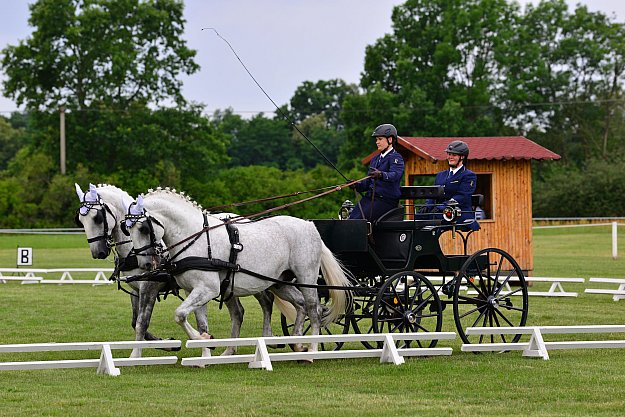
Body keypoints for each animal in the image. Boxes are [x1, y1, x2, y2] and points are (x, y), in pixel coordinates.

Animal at [73, 184, 276, 356]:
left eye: (97, 218)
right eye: (80, 220)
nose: (98, 252)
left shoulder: (150, 287)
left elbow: (142, 323)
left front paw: (137, 354)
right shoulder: (136, 290)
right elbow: (135, 322)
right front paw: (167, 343)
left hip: (253, 279)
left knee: (266, 301)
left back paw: (268, 338)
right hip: (227, 285)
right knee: (238, 312)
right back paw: (229, 349)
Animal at [123, 188, 352, 354]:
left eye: (143, 228)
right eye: (127, 229)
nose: (144, 265)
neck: (196, 237)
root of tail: (309, 225)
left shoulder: (208, 289)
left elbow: (179, 314)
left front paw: (201, 339)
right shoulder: (194, 290)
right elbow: (198, 321)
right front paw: (204, 349)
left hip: (307, 276)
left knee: (314, 309)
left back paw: (312, 349)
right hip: (279, 282)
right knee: (301, 305)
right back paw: (296, 343)